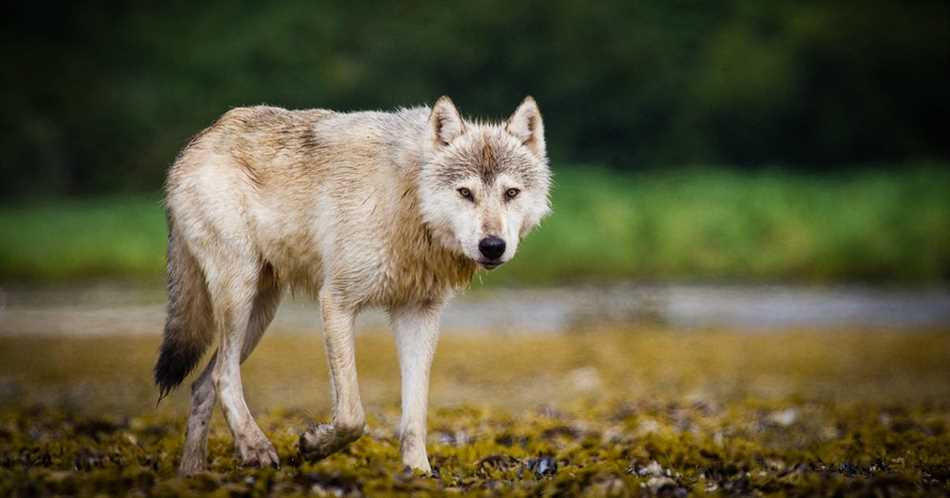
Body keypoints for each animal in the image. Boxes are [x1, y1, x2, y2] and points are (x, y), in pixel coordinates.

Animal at [153, 96, 556, 474]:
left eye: (511, 193)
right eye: (465, 193)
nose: (493, 245)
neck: (407, 199)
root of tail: (199, 140)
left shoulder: (419, 313)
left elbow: (415, 413)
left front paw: (417, 471)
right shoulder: (336, 302)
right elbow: (352, 417)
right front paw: (313, 445)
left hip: (260, 312)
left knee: (203, 384)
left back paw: (193, 473)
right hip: (239, 294)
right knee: (222, 375)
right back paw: (256, 447)